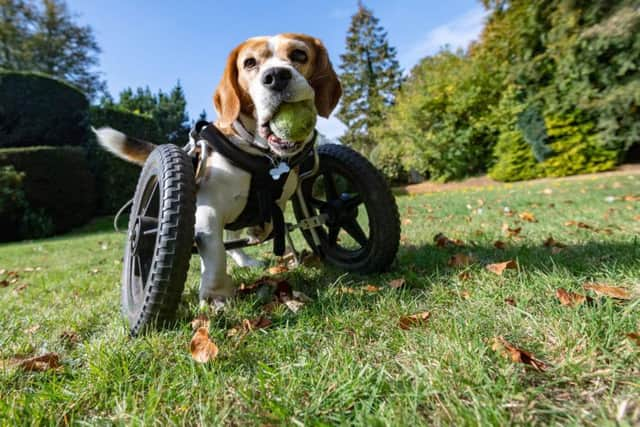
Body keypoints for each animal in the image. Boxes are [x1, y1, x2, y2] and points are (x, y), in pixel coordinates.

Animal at [94, 33, 340, 308]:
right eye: (249, 63)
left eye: (299, 55)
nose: (276, 76)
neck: (262, 154)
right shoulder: (208, 212)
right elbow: (216, 253)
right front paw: (216, 296)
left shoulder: (278, 201)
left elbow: (264, 226)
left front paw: (257, 232)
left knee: (233, 239)